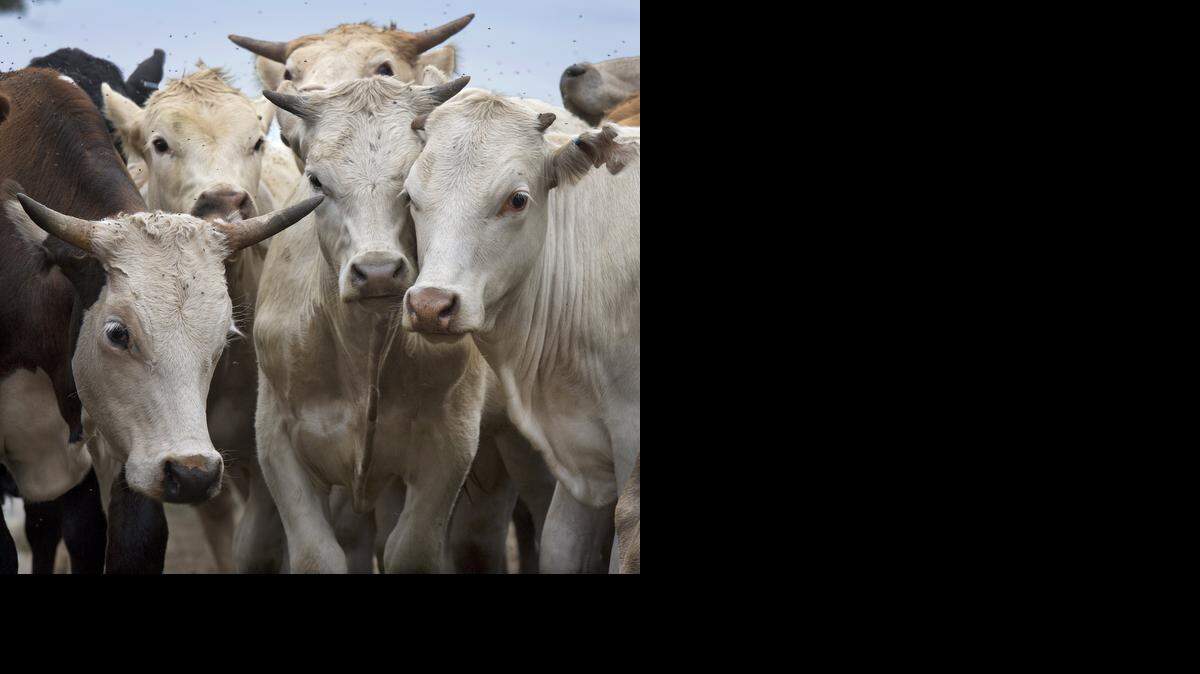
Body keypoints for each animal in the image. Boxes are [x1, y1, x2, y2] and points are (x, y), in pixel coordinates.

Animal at [253, 75, 490, 573]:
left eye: (413, 180)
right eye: (316, 180)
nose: (378, 271)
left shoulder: (452, 447)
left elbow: (410, 550)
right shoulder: (277, 442)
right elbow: (318, 555)